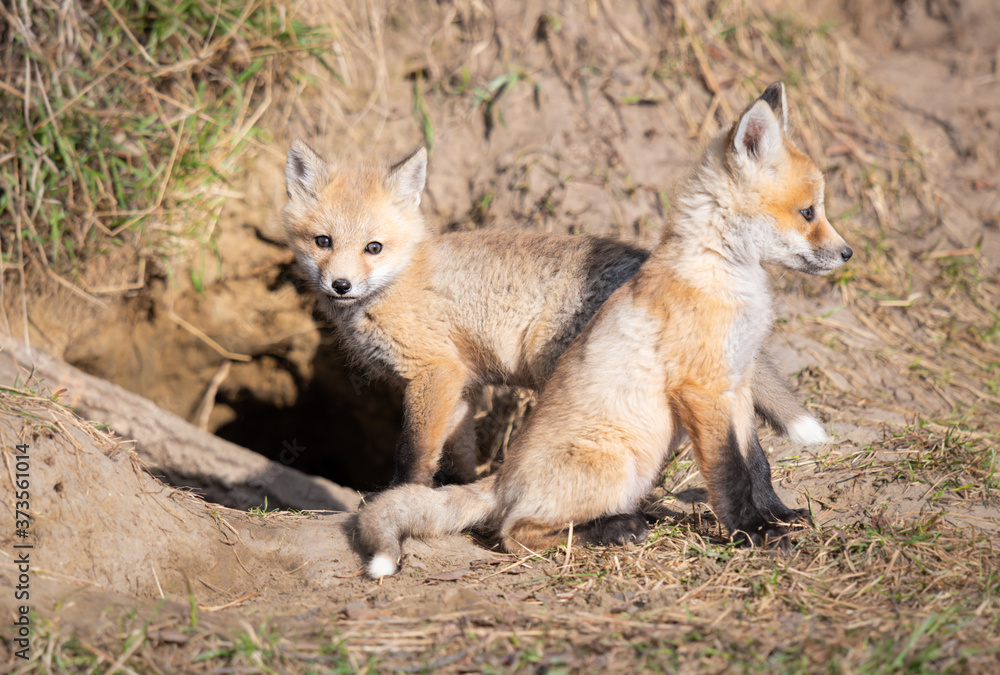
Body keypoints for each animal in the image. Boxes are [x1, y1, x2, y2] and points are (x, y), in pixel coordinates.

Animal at [281, 104, 829, 495]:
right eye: (323, 242)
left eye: (373, 248)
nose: (340, 286)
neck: (400, 282)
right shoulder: (463, 382)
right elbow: (458, 452)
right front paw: (457, 488)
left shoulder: (434, 372)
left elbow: (413, 453)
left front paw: (397, 496)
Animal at [355, 82, 853, 578]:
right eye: (808, 212)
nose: (848, 253)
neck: (721, 276)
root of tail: (500, 479)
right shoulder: (701, 390)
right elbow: (729, 473)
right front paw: (751, 533)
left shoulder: (739, 382)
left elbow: (757, 464)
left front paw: (778, 516)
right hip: (616, 463)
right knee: (513, 533)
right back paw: (613, 529)